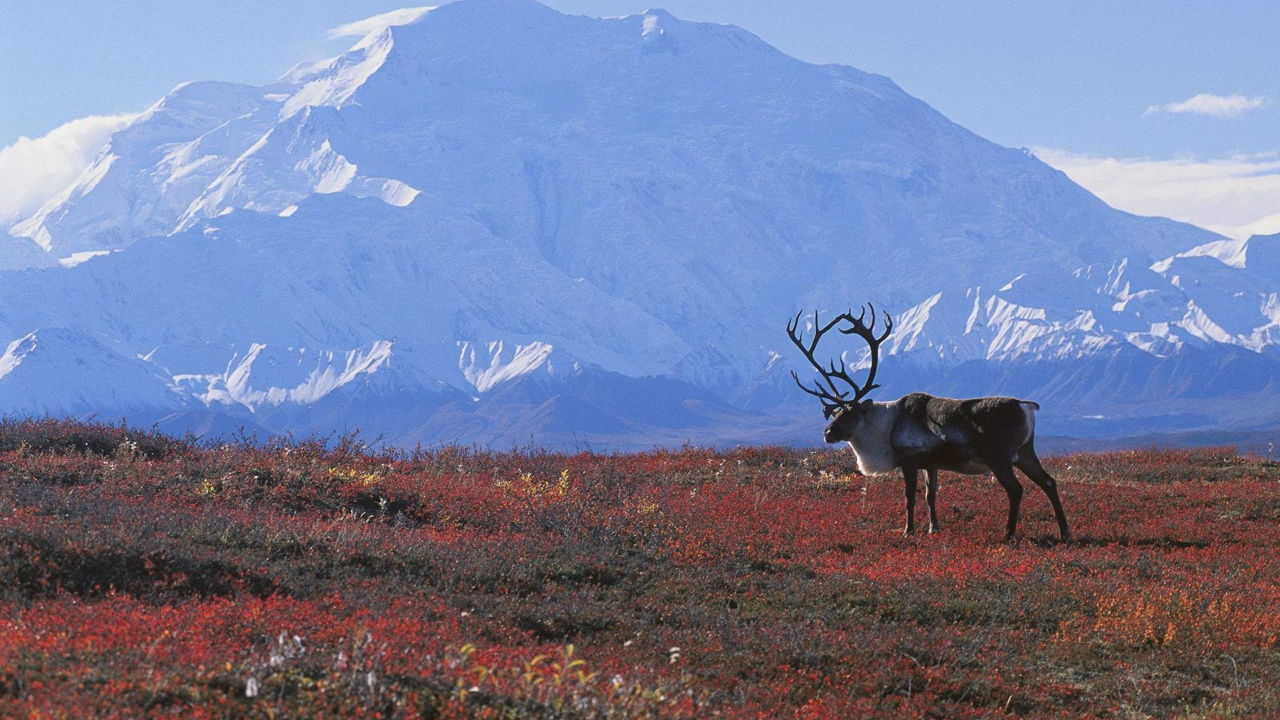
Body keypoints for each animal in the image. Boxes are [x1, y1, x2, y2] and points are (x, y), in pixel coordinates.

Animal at [786, 304, 1071, 542]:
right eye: (834, 413)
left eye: (849, 413)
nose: (827, 433)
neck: (886, 425)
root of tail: (1026, 406)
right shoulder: (931, 463)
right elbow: (930, 495)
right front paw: (934, 528)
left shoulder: (909, 459)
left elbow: (910, 497)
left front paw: (908, 531)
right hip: (1025, 452)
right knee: (1049, 482)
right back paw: (1065, 532)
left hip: (999, 457)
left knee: (1016, 489)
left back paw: (1009, 534)